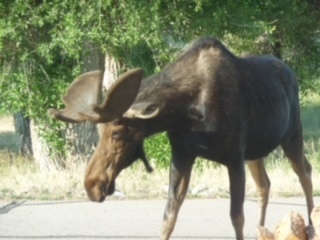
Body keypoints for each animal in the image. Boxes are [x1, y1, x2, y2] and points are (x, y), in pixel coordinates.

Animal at [48, 38, 314, 239]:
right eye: (99, 131)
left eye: (116, 133)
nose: (91, 185)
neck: (185, 114)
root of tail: (291, 72)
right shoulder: (182, 155)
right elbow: (169, 215)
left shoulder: (234, 158)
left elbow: (236, 216)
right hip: (255, 151)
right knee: (264, 184)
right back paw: (261, 229)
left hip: (292, 134)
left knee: (305, 172)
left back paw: (310, 225)